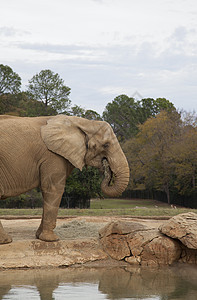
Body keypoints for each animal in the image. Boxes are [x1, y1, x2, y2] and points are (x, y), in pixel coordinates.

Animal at [0, 115, 129, 244]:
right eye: (106, 145)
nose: (106, 166)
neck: (84, 122)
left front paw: (39, 236)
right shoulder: (53, 155)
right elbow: (53, 188)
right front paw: (51, 239)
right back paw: (6, 241)